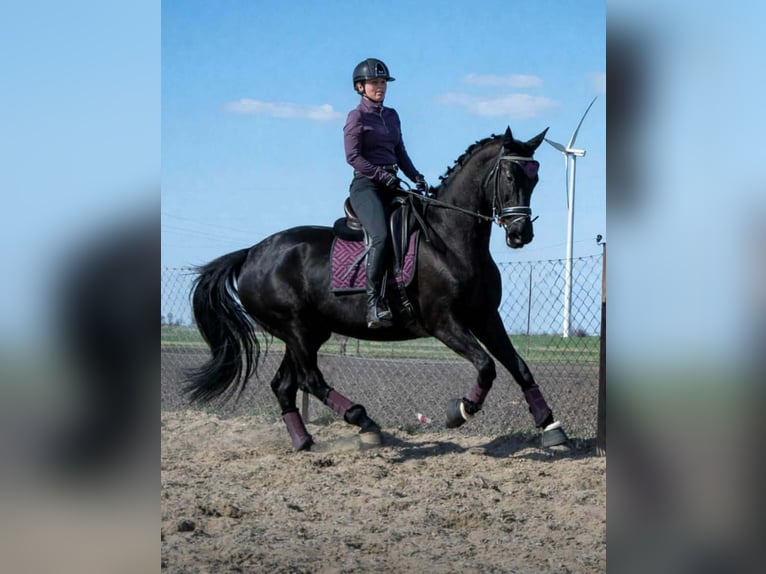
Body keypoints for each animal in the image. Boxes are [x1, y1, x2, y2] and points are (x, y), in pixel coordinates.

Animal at [186, 126, 569, 451]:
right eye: (509, 176)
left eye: (535, 178)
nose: (520, 234)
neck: (452, 240)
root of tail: (251, 253)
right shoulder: (444, 323)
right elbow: (487, 366)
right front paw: (459, 411)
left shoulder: (486, 317)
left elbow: (519, 366)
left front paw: (551, 427)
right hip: (295, 329)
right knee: (310, 380)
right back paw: (365, 423)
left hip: (307, 333)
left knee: (284, 385)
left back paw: (304, 442)